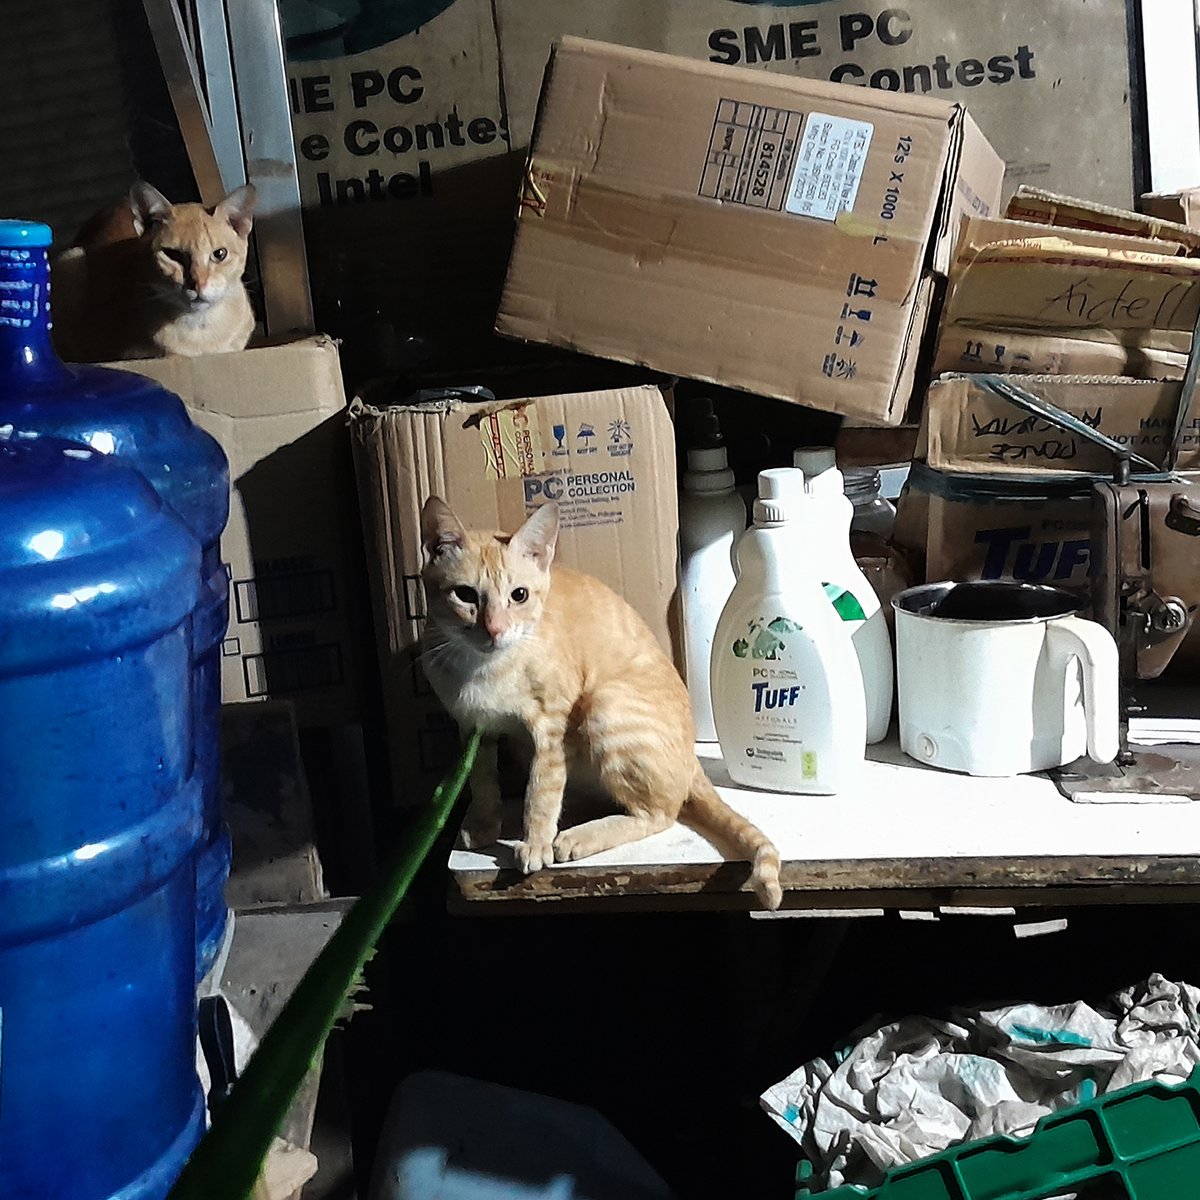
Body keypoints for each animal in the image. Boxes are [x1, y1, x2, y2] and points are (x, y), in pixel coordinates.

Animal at [422, 496, 787, 907]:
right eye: (465, 595)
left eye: (519, 595)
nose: (495, 629)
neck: (485, 668)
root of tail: (693, 761)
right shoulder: (473, 728)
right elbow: (482, 781)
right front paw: (485, 823)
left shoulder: (552, 725)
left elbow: (541, 790)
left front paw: (535, 842)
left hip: (605, 705)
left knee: (660, 813)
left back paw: (576, 837)